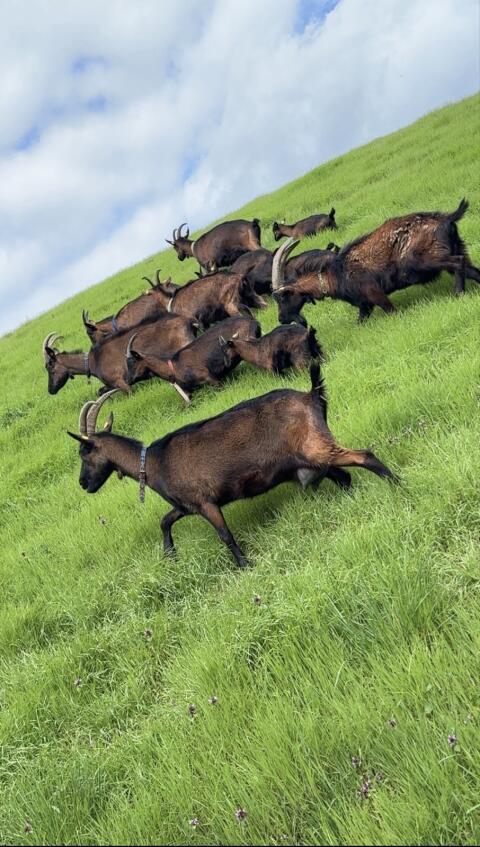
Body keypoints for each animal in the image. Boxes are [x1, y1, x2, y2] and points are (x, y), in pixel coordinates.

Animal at [43, 315, 196, 395]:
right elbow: (100, 391)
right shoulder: (111, 384)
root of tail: (188, 321)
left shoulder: (120, 381)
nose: (51, 390)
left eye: (50, 365)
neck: (93, 360)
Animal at [67, 365, 396, 567]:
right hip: (312, 457)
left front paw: (245, 565)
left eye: (84, 453)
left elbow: (224, 535)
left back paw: (398, 487)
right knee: (344, 476)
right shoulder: (187, 505)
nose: (83, 484)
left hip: (317, 447)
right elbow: (165, 520)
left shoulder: (206, 502)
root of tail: (310, 394)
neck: (153, 461)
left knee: (364, 456)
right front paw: (170, 555)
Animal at [125, 316, 261, 402]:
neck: (173, 366)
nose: (127, 380)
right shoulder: (189, 393)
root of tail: (252, 320)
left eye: (132, 362)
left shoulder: (209, 377)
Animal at [272, 200, 480, 325]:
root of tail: (447, 218)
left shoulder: (375, 293)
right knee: (472, 269)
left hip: (427, 259)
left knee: (457, 262)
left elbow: (392, 311)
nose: (281, 319)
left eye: (282, 297)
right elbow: (360, 323)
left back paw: (458, 293)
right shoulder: (364, 305)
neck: (335, 273)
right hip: (457, 247)